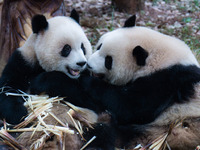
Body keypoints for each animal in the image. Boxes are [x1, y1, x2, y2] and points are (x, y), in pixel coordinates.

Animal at [80, 15, 200, 149]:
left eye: (108, 61)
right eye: (99, 46)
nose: (89, 65)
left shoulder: (166, 80)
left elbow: (131, 107)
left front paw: (87, 80)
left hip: (163, 128)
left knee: (112, 132)